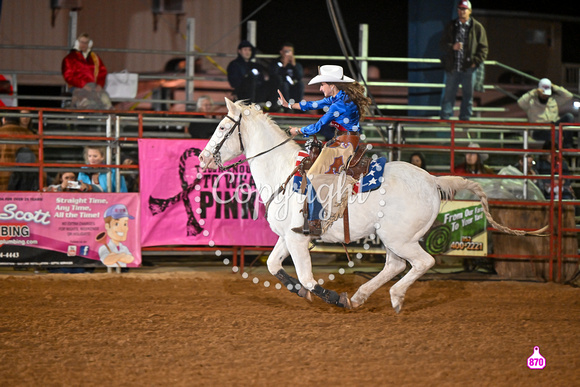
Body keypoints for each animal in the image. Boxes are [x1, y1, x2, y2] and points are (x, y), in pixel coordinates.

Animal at [198, 99, 544, 312]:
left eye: (221, 128)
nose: (202, 158)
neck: (283, 168)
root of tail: (431, 180)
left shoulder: (297, 240)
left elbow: (308, 278)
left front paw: (333, 297)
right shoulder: (289, 236)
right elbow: (272, 266)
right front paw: (302, 293)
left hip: (400, 238)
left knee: (421, 263)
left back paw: (393, 297)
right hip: (393, 238)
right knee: (395, 266)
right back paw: (363, 296)